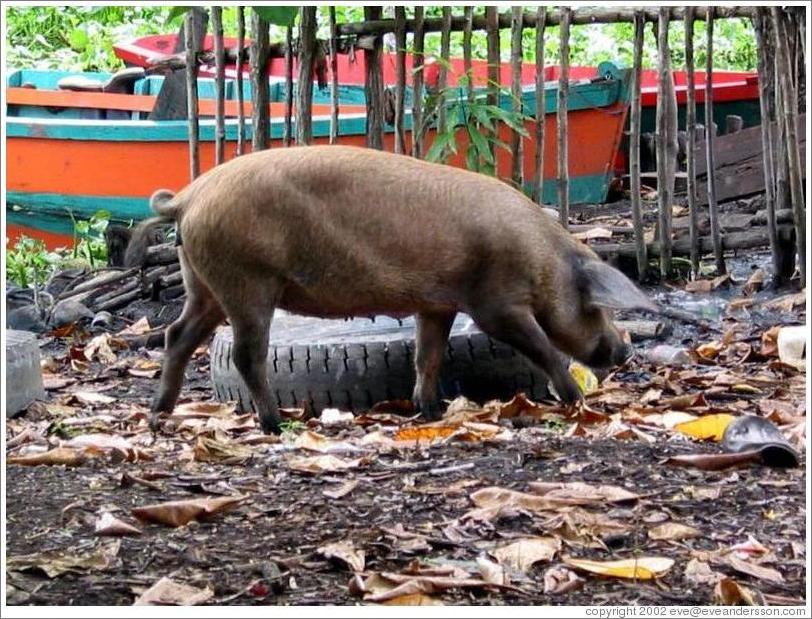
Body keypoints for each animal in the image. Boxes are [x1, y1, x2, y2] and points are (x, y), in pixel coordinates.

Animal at [128, 145, 660, 436]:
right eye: (596, 308)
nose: (623, 351)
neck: (544, 260)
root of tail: (189, 197)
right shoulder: (495, 302)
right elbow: (541, 347)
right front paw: (575, 400)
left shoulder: (437, 304)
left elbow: (429, 355)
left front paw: (430, 409)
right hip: (246, 279)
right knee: (245, 354)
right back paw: (275, 424)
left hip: (204, 283)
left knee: (177, 335)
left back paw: (158, 415)